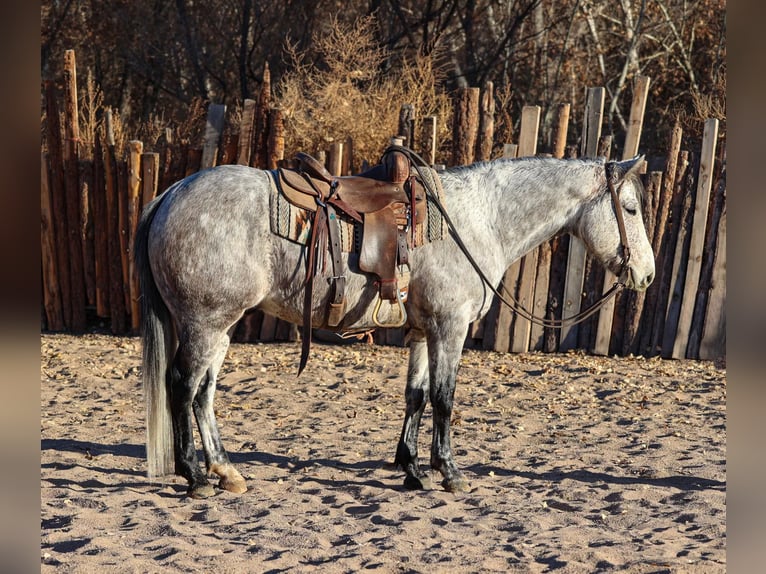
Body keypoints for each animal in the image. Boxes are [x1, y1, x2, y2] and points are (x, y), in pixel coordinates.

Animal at [134, 154, 655, 499]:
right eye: (630, 209)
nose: (646, 275)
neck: (478, 219)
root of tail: (169, 195)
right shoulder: (449, 326)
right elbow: (444, 398)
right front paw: (448, 471)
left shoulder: (423, 331)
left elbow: (417, 396)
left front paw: (412, 468)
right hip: (205, 323)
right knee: (181, 386)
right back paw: (195, 476)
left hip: (219, 329)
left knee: (203, 394)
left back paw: (225, 471)